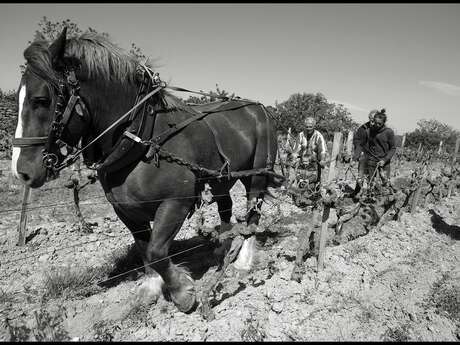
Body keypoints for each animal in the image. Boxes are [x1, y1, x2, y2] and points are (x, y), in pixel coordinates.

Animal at [10, 27, 282, 312]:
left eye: (41, 100)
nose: (21, 171)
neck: (142, 138)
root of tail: (258, 108)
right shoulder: (125, 210)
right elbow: (144, 248)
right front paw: (151, 288)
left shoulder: (176, 203)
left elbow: (157, 251)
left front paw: (182, 292)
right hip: (221, 178)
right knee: (226, 206)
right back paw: (222, 247)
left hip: (257, 174)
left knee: (252, 213)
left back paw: (242, 261)